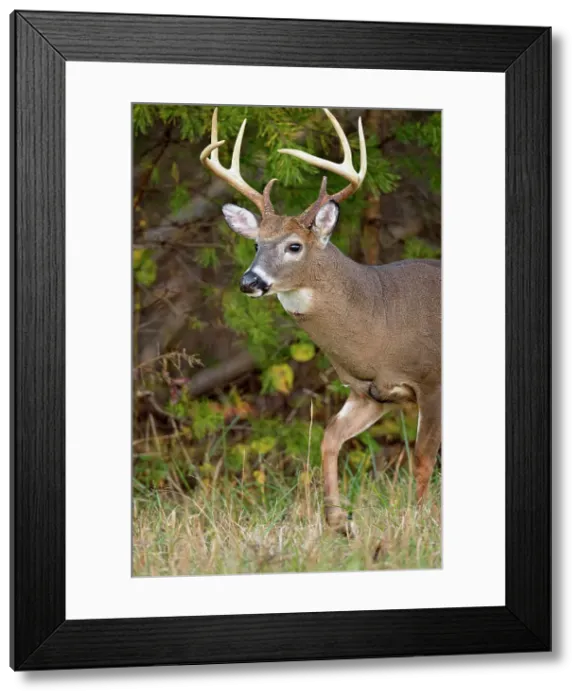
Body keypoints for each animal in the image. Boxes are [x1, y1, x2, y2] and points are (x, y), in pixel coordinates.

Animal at [200, 107, 441, 536]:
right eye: (256, 243)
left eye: (294, 246)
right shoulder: (368, 392)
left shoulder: (432, 380)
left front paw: (419, 521)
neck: (381, 320)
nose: (249, 282)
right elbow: (330, 438)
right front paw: (338, 521)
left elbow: (422, 458)